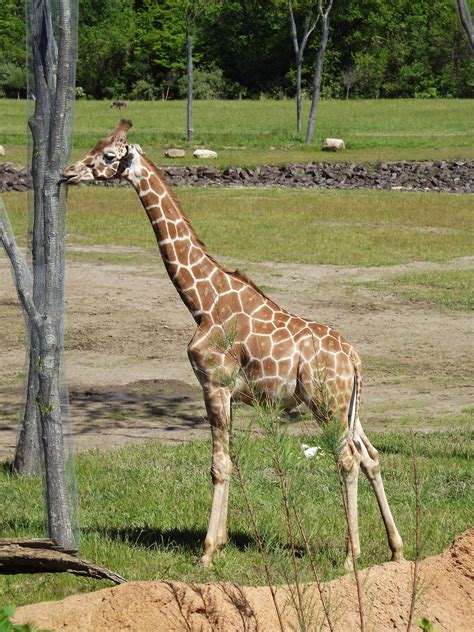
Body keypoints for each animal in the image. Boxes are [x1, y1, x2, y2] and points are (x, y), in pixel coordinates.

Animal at [62, 118, 404, 568]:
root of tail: (355, 359)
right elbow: (232, 459)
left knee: (347, 459)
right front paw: (221, 542)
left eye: (107, 155)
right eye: (96, 146)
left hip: (325, 403)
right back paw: (396, 548)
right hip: (349, 406)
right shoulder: (232, 393)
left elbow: (218, 465)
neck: (202, 301)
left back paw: (352, 557)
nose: (67, 173)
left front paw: (207, 553)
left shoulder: (214, 382)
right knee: (370, 455)